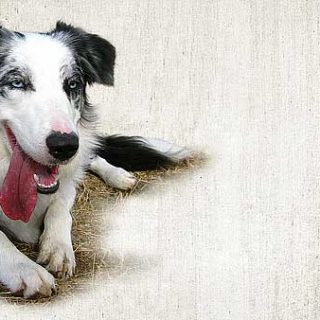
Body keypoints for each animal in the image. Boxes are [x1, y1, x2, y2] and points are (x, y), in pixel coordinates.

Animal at [0, 21, 189, 298]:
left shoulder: (67, 181)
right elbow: (1, 238)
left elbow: (61, 209)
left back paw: (118, 175)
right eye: (16, 82)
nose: (65, 147)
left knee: (91, 156)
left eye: (72, 84)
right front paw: (25, 269)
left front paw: (58, 247)